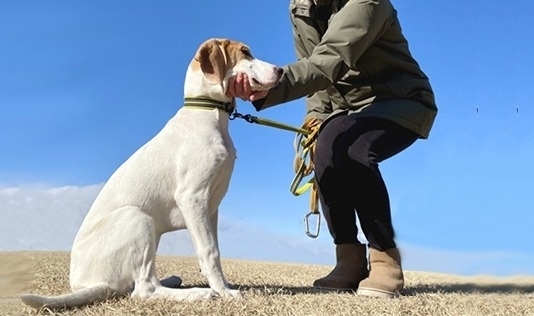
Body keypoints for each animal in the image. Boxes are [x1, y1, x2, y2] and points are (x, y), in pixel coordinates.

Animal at [19, 38, 284, 310]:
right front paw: (223, 292)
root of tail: (86, 284)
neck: (208, 113)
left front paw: (223, 285)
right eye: (245, 52)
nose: (281, 71)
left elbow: (215, 252)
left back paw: (175, 281)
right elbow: (210, 251)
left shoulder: (211, 207)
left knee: (138, 284)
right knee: (143, 289)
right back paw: (197, 293)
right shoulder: (192, 198)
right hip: (138, 218)